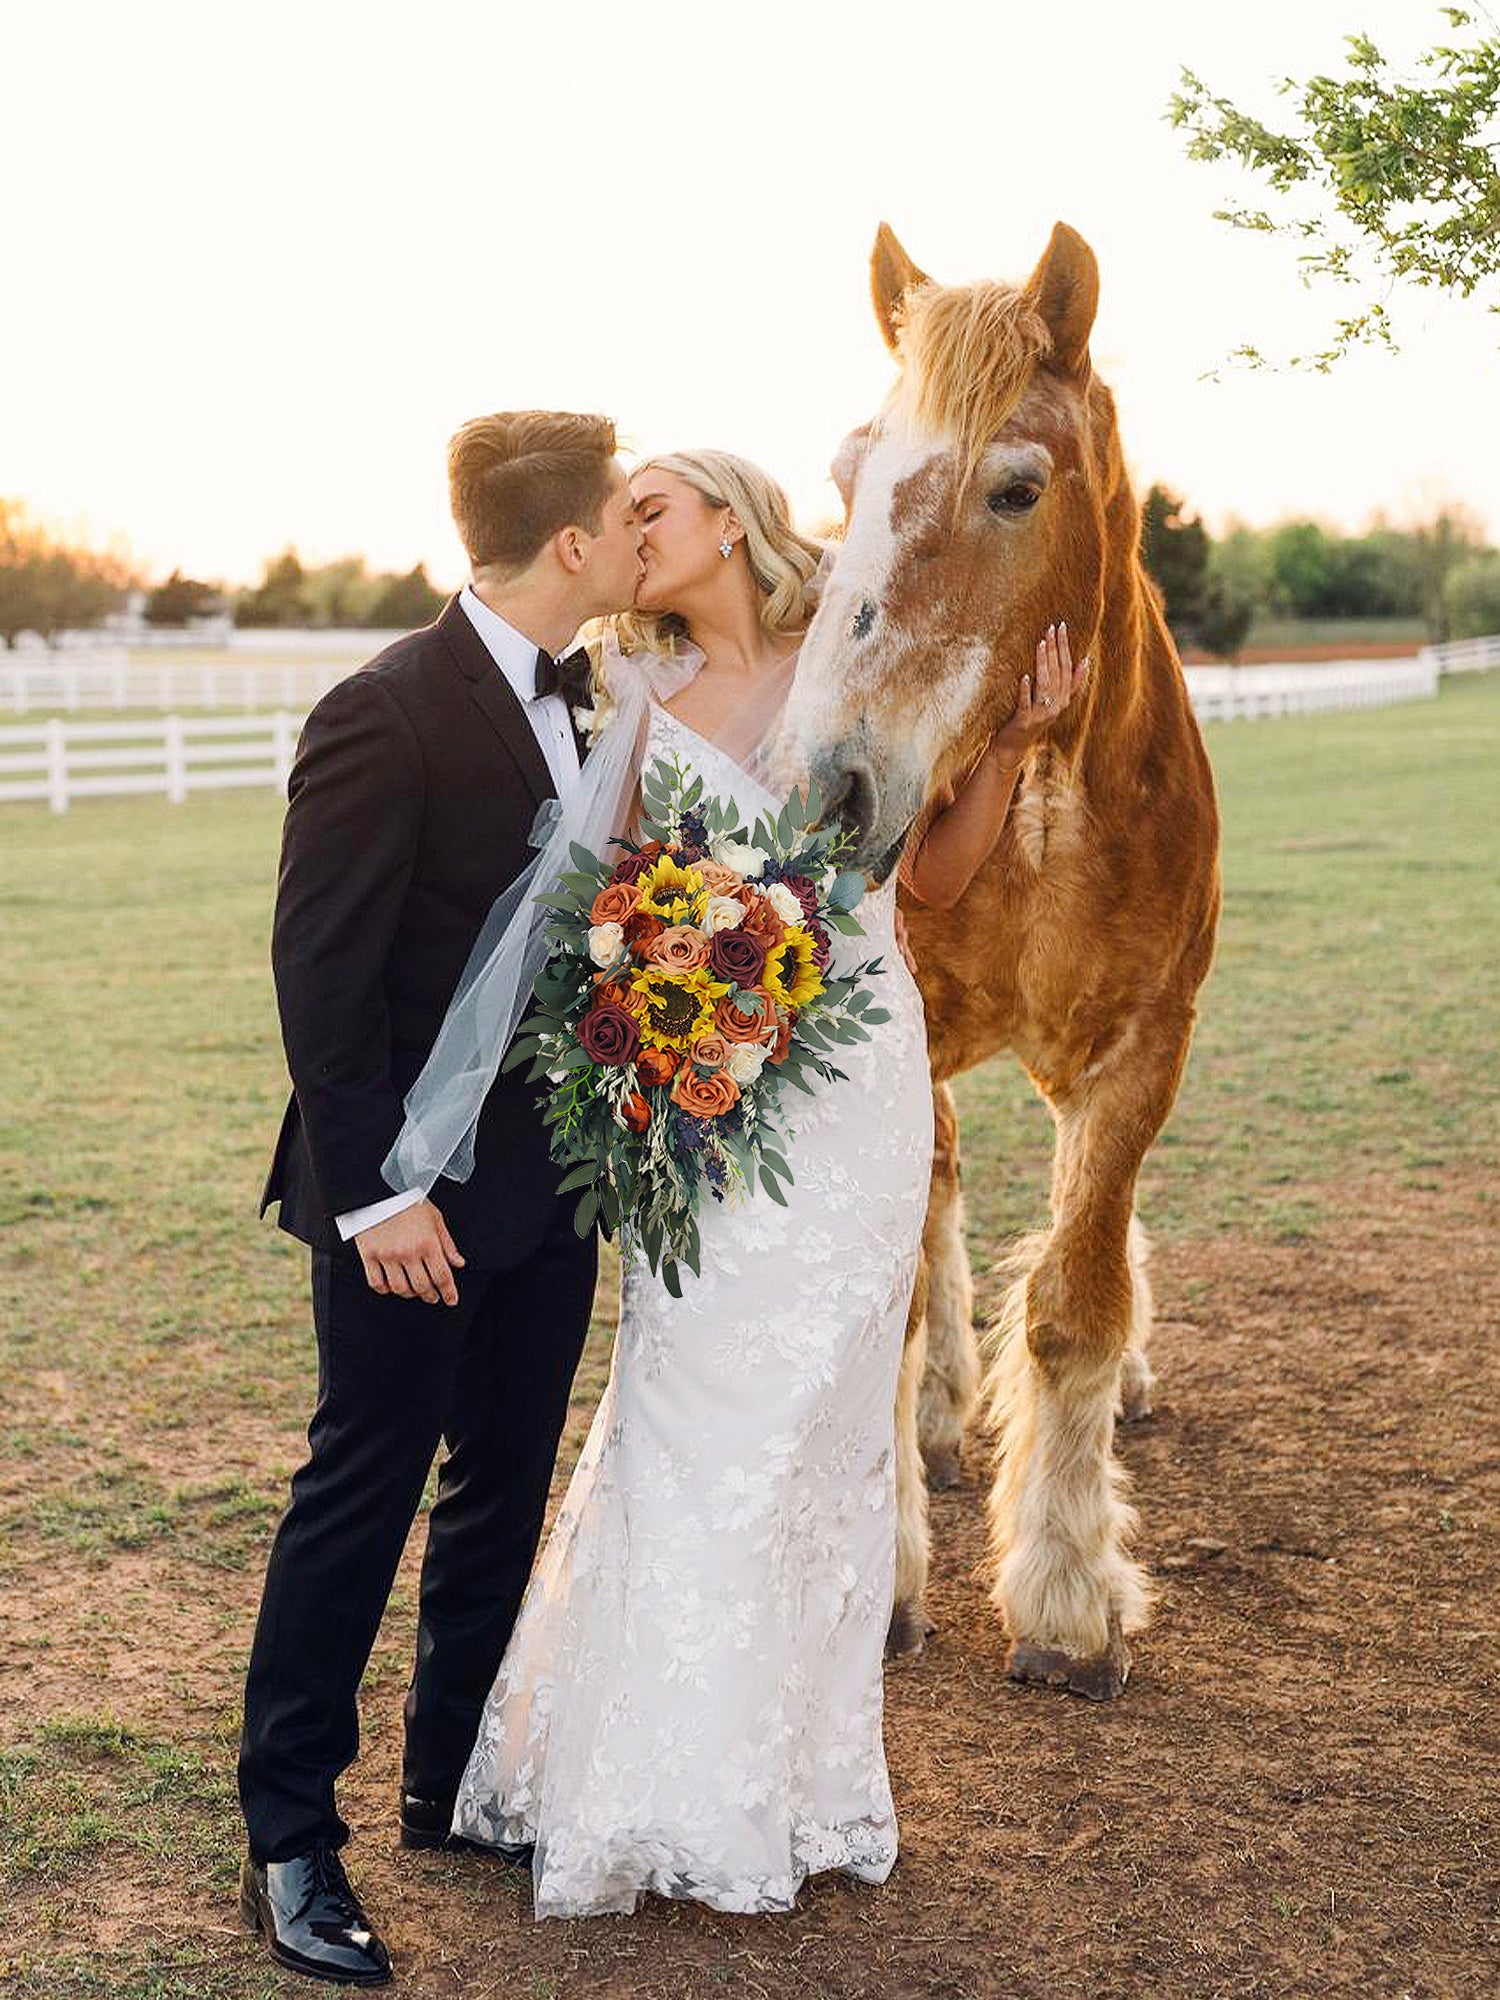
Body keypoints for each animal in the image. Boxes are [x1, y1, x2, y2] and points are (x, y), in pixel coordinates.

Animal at [788, 223, 1224, 1704]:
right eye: (848, 481)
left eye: (1017, 487)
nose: (832, 783)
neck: (1039, 803)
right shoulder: (904, 1031)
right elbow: (908, 1292)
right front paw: (888, 1583)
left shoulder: (1143, 1048)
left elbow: (1075, 1300)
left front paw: (1071, 1599)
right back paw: (929, 1433)